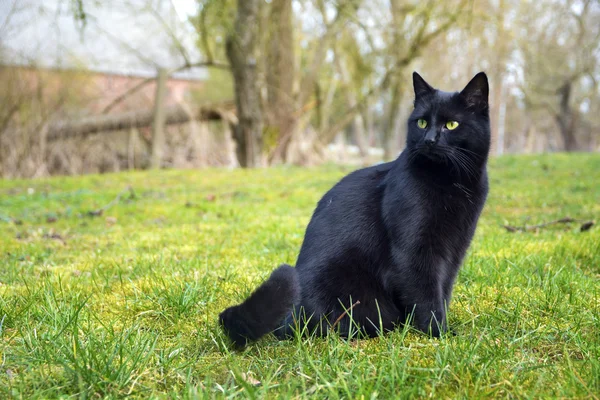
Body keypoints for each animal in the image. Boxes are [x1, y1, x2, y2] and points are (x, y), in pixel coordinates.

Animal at [218, 72, 490, 346]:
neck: (451, 181)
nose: (429, 139)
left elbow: (443, 290)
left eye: (452, 125)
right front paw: (438, 334)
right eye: (422, 122)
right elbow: (425, 294)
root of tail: (289, 318)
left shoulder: (454, 251)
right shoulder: (415, 251)